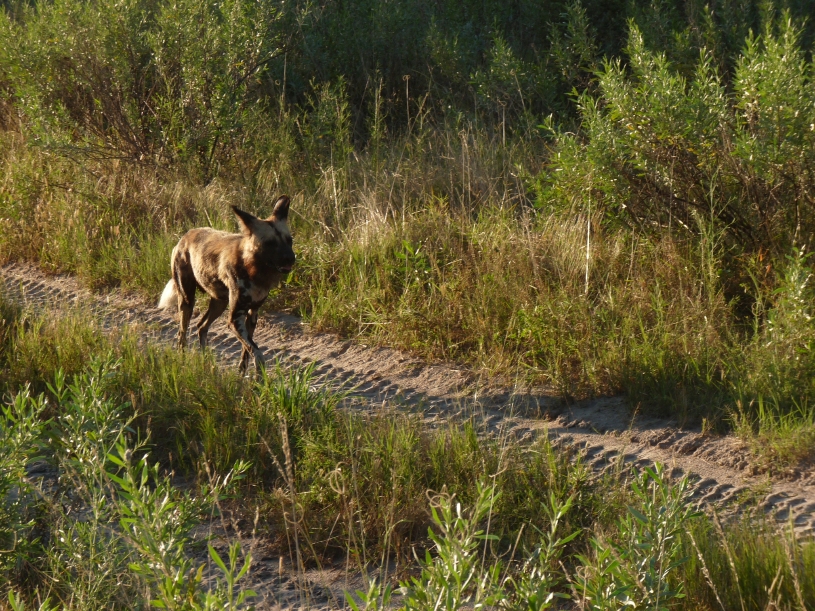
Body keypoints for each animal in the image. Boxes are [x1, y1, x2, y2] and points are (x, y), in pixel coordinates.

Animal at [158, 195, 295, 374]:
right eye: (270, 243)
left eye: (289, 240)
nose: (291, 258)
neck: (254, 269)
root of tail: (185, 236)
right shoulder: (235, 318)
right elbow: (257, 352)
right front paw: (259, 375)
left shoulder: (252, 314)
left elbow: (247, 351)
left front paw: (242, 374)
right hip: (187, 302)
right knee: (182, 334)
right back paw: (183, 361)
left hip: (220, 303)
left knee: (201, 327)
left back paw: (206, 363)